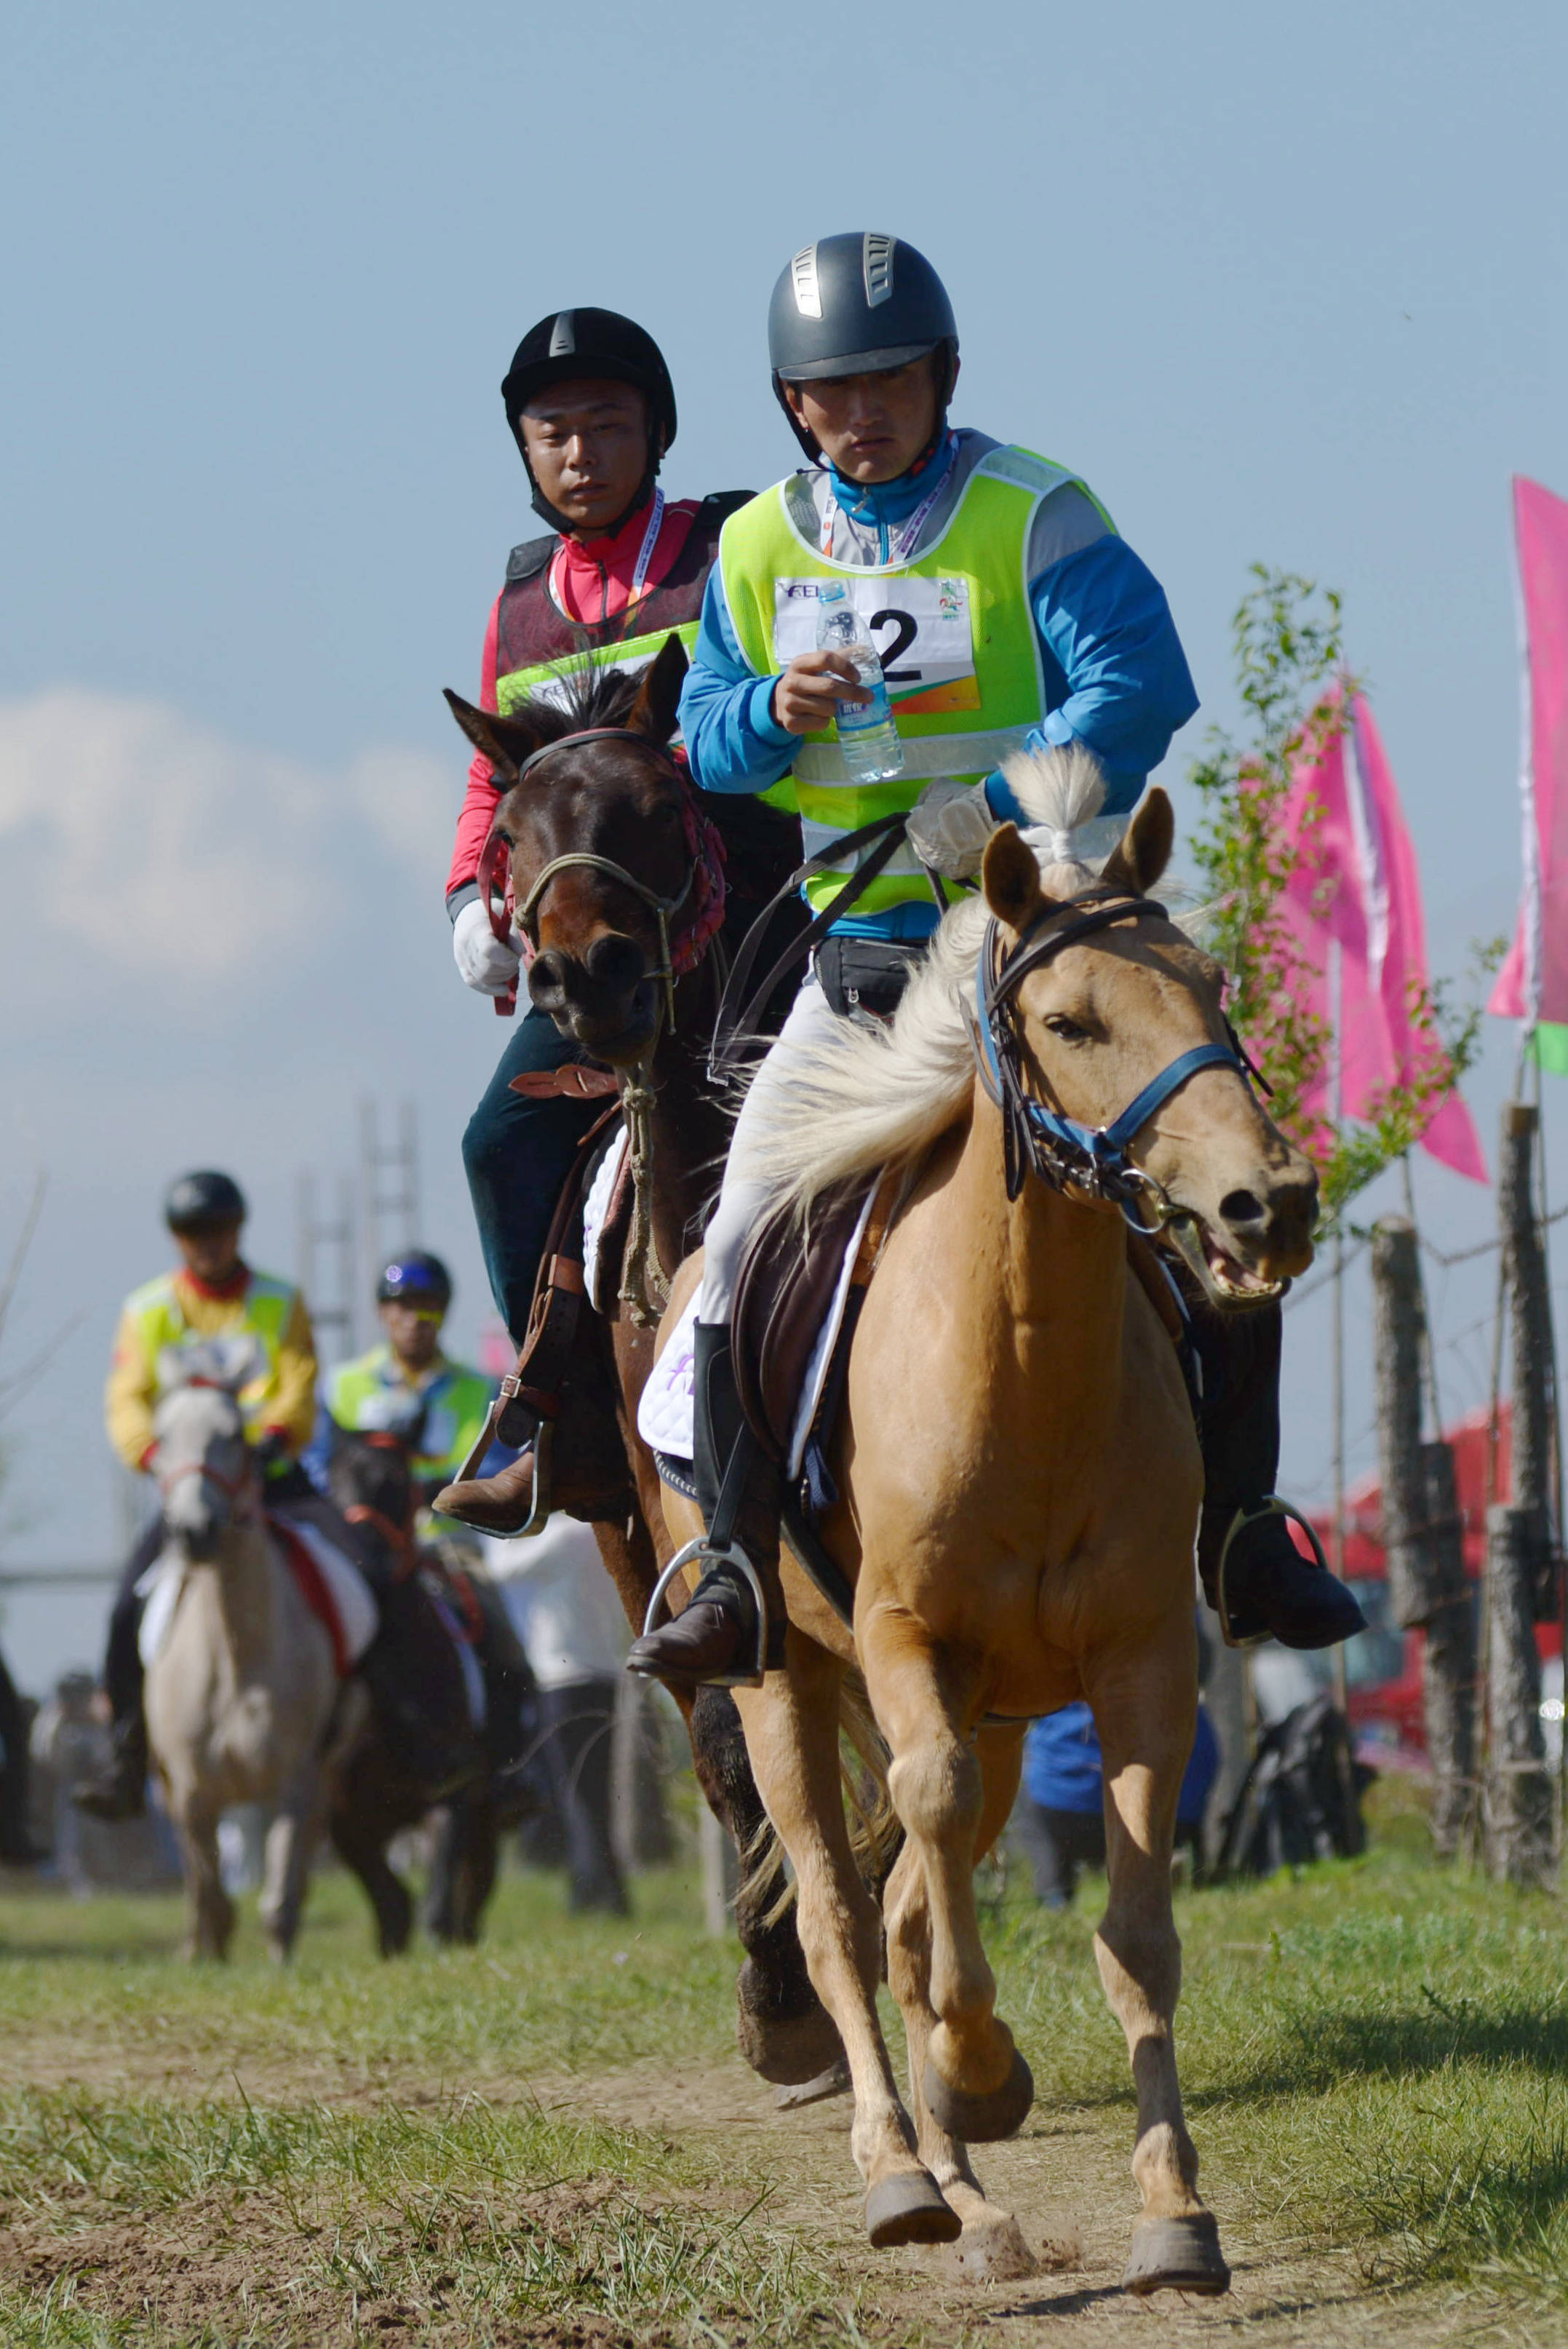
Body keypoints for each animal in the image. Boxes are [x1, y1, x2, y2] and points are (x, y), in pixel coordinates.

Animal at [324, 1418, 539, 1954]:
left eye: (394, 1479)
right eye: (329, 1482)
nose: (360, 1558)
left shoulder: (455, 1796)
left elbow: (439, 1907)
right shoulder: (349, 1825)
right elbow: (392, 1909)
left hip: (486, 1817)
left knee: (472, 1898)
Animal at [441, 634, 849, 2086]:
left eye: (660, 808)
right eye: (508, 837)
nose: (587, 977)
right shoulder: (641, 1514)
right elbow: (723, 1736)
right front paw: (781, 1995)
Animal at [657, 756, 1314, 2292]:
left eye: (1215, 986)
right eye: (1070, 1020)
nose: (1266, 1201)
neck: (1021, 1368)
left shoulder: (1141, 1663)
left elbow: (1132, 1933)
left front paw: (1171, 2205)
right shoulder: (904, 1640)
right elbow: (921, 1865)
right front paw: (969, 2069)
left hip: (1005, 1703)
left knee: (906, 1895)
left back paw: (975, 2187)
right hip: (784, 1678)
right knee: (841, 1913)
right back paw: (906, 2171)